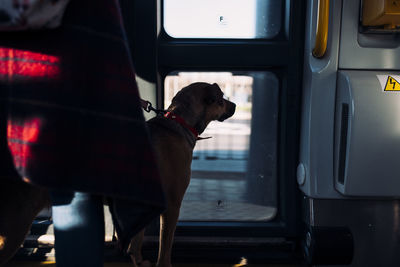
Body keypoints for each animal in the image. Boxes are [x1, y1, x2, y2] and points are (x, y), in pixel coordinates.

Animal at [127, 82, 234, 267]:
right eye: (221, 99)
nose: (234, 105)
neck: (181, 123)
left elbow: (136, 242)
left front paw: (138, 260)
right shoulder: (172, 204)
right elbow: (165, 249)